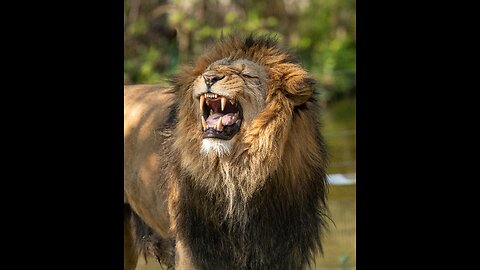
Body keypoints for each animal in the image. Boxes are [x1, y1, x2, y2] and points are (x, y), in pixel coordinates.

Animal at [123, 35, 330, 270]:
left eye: (247, 75)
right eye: (210, 70)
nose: (209, 78)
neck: (237, 172)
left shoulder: (282, 250)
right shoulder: (193, 248)